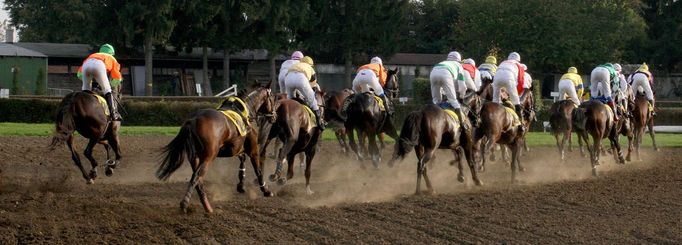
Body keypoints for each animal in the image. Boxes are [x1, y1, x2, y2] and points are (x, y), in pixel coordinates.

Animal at [157, 83, 274, 212]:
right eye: (272, 98)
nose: (274, 116)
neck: (245, 110)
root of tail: (193, 121)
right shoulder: (253, 150)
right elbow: (258, 170)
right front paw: (266, 190)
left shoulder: (235, 148)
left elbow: (242, 160)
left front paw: (241, 186)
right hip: (209, 156)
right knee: (196, 177)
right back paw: (185, 203)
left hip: (195, 158)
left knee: (198, 180)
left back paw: (207, 206)